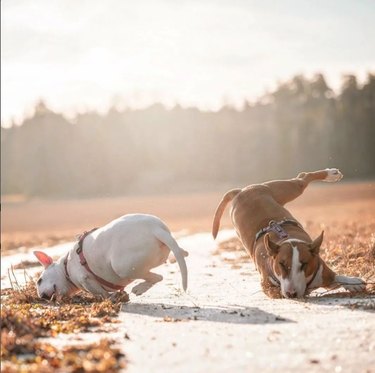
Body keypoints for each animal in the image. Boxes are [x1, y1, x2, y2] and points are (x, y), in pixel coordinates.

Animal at [33, 214, 188, 298]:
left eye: (39, 280)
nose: (42, 297)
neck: (65, 267)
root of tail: (155, 229)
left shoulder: (86, 279)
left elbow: (101, 293)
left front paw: (112, 298)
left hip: (121, 267)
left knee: (156, 276)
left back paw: (139, 288)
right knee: (160, 272)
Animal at [213, 168, 366, 296]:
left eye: (304, 264)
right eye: (281, 264)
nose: (291, 293)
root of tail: (241, 190)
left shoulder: (322, 270)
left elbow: (337, 277)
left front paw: (353, 282)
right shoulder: (267, 286)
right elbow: (274, 291)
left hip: (284, 189)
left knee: (302, 177)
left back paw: (332, 174)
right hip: (283, 189)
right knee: (302, 177)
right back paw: (331, 174)